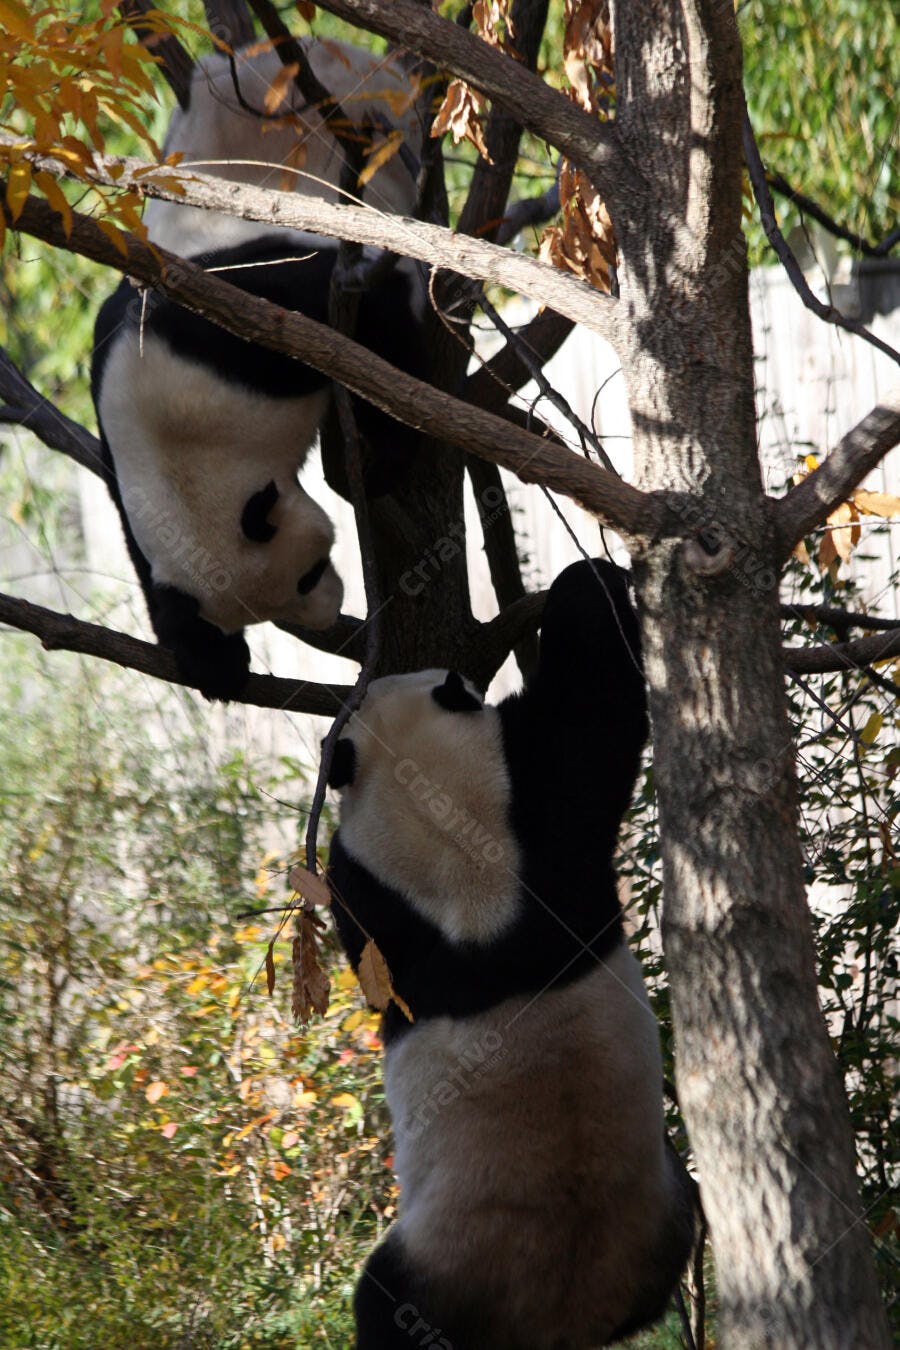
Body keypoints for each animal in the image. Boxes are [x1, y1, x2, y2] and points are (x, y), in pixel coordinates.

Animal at [91, 40, 427, 701]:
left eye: (309, 574)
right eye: (282, 606)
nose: (329, 613)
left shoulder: (236, 317)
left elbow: (368, 330)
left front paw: (385, 457)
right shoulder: (113, 401)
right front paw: (211, 660)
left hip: (371, 115)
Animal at [325, 559, 696, 1350]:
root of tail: (563, 1323)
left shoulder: (523, 814)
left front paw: (588, 573)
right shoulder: (548, 824)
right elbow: (597, 711)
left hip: (457, 1258)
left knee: (383, 1303)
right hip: (654, 1214)